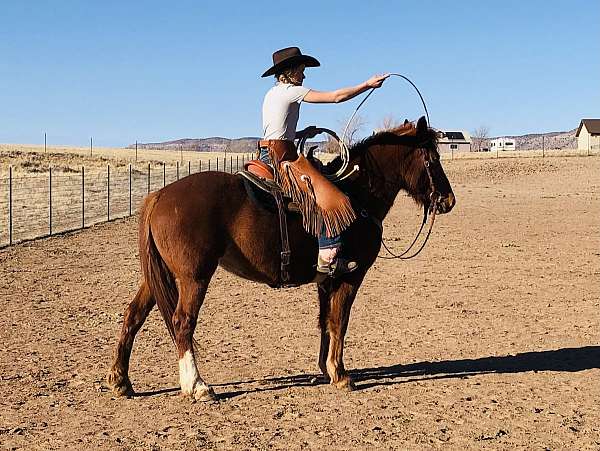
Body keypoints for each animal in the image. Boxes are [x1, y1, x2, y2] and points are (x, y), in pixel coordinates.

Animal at [106, 117, 454, 402]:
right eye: (432, 158)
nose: (448, 201)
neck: (358, 196)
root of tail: (159, 196)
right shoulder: (350, 276)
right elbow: (340, 321)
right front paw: (341, 375)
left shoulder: (326, 280)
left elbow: (325, 322)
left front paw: (326, 369)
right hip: (194, 277)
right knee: (182, 322)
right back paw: (197, 386)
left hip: (158, 277)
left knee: (133, 315)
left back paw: (121, 381)